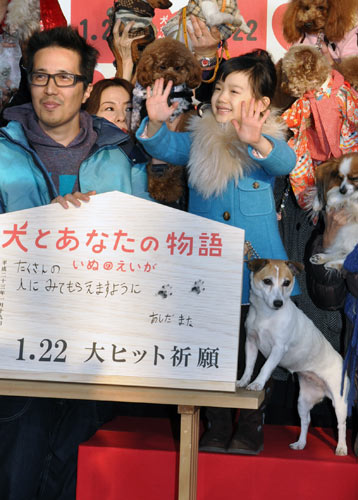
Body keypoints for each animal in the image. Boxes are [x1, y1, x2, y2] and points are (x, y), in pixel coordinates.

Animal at [236, 260, 348, 456]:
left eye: (286, 283)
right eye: (267, 281)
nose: (278, 303)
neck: (266, 315)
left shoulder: (278, 348)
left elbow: (264, 368)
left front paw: (257, 383)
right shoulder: (250, 342)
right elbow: (249, 366)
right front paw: (244, 381)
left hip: (339, 403)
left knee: (341, 425)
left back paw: (341, 447)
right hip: (302, 402)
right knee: (305, 422)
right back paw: (300, 443)